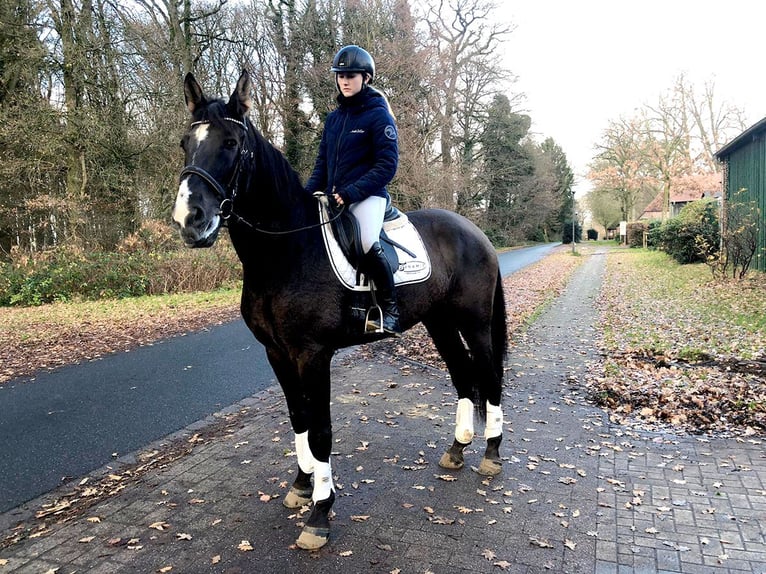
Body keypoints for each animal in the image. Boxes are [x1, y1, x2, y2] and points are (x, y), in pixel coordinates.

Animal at [174, 72, 510, 552]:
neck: (288, 250)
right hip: (440, 322)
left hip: (474, 322)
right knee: (464, 374)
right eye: (186, 142)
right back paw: (457, 449)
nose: (190, 220)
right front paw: (300, 486)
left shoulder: (313, 354)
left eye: (232, 144)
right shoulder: (276, 354)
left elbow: (321, 429)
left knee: (489, 373)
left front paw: (320, 512)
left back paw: (491, 453)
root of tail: (475, 231)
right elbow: (298, 419)